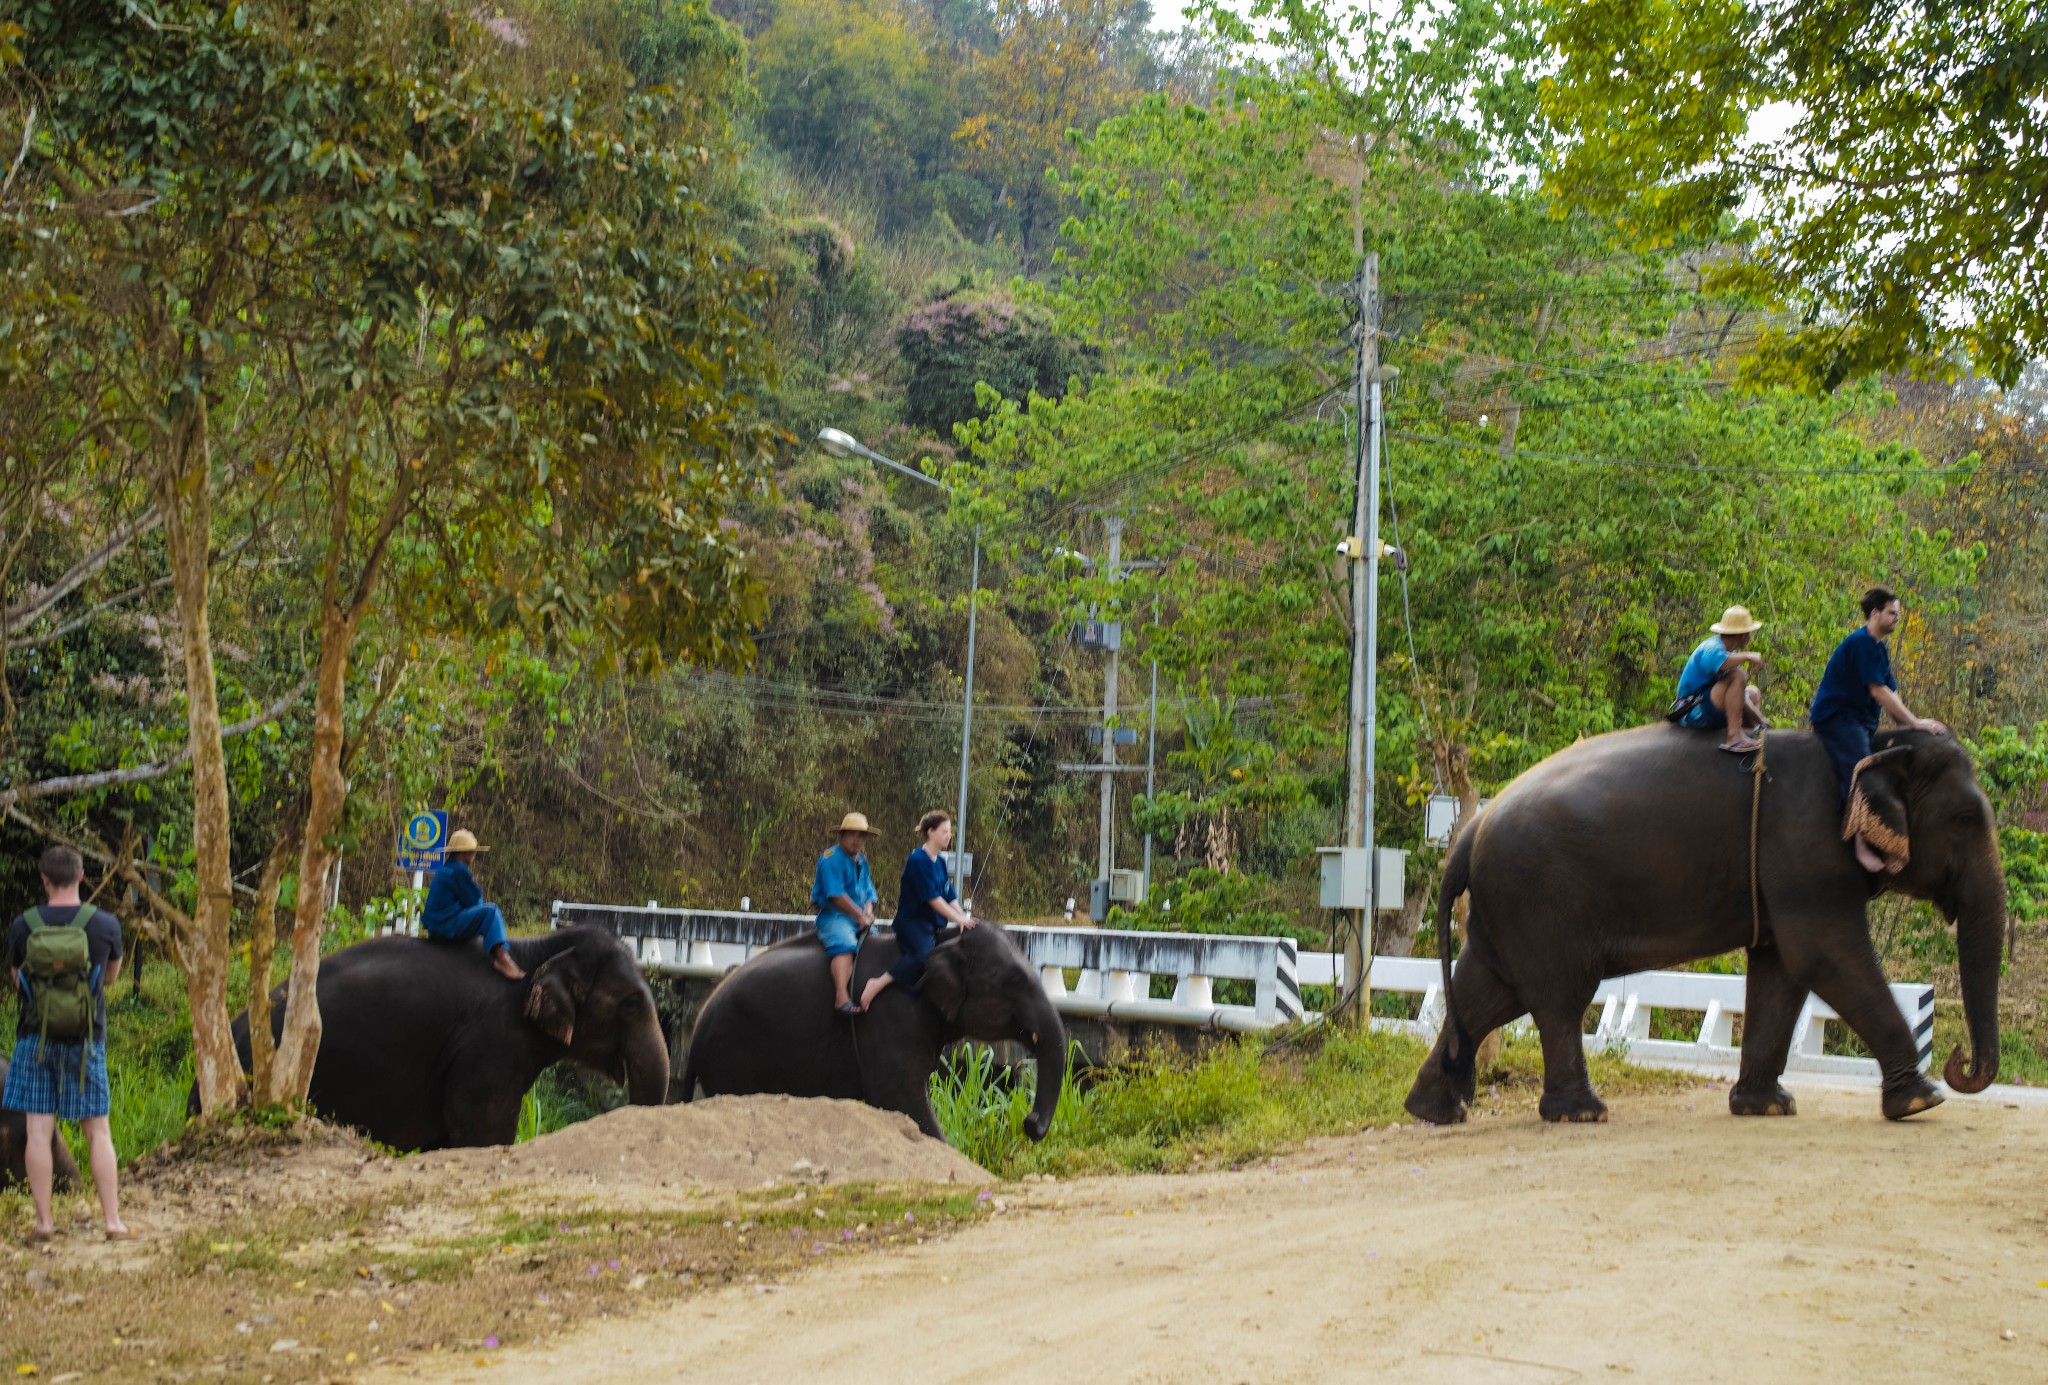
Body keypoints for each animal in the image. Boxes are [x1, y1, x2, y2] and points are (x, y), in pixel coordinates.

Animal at [688, 926, 1073, 1139]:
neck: (940, 940)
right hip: (731, 1053)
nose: (1030, 1125)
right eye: (1014, 981)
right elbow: (902, 1101)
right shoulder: (891, 1018)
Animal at [1409, 725, 1998, 1122]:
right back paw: (1583, 1113)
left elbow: (1782, 967)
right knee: (1557, 997)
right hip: (1538, 899)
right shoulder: (1807, 851)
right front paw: (1922, 1102)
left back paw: (1434, 1111)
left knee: (1489, 992)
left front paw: (1767, 1107)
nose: (1959, 1059)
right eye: (1965, 818)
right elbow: (1823, 955)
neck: (1872, 738)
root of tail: (1470, 831)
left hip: (1507, 908)